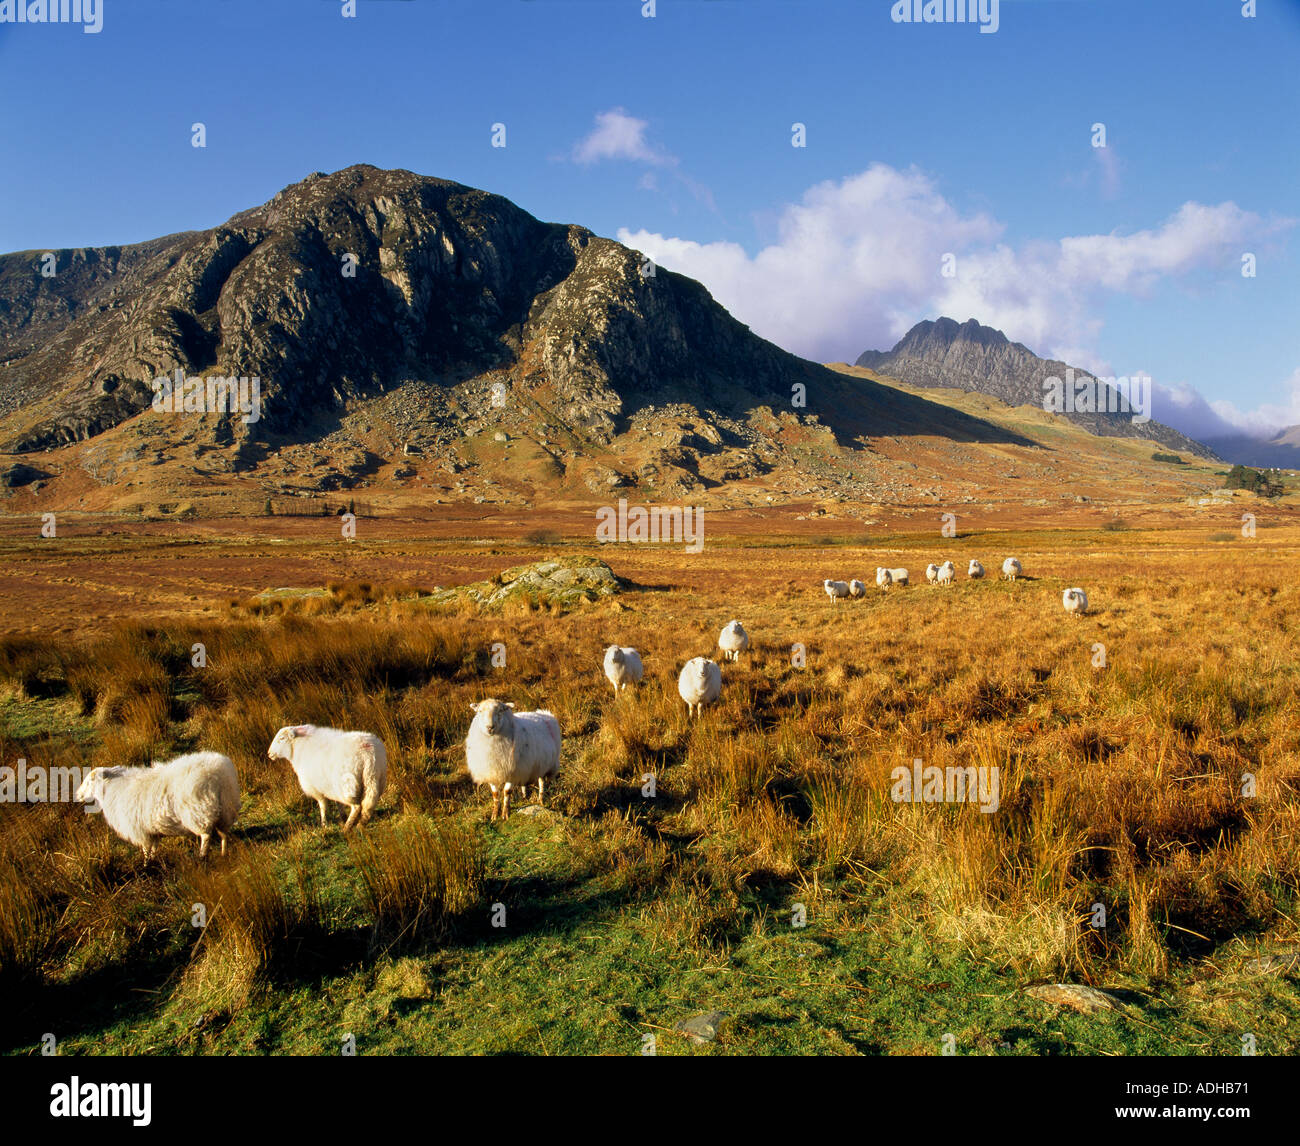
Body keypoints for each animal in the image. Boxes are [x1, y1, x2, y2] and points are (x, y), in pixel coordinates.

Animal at [76, 748, 240, 857]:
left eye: (89, 781)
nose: (77, 795)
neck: (113, 789)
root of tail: (218, 774)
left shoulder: (141, 831)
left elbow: (146, 850)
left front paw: (146, 866)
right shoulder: (152, 831)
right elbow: (154, 849)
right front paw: (153, 862)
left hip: (198, 813)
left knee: (205, 835)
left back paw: (202, 856)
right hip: (225, 809)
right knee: (223, 834)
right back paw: (224, 854)